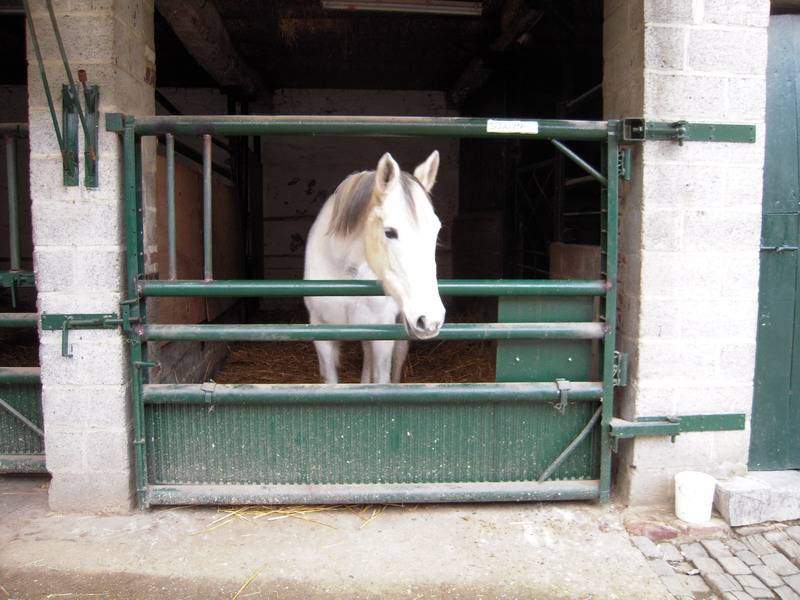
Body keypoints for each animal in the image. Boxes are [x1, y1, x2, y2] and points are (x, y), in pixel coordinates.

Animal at [304, 151, 446, 384]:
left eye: (436, 230)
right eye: (389, 232)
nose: (431, 320)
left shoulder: (383, 336)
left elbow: (381, 379)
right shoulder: (322, 331)